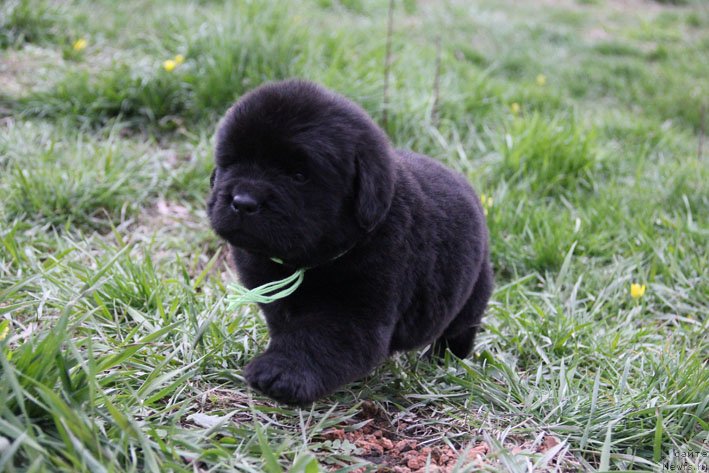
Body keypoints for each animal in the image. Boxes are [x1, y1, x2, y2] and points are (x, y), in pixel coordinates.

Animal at [207, 79, 490, 404]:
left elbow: (317, 338)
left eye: (299, 175)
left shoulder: (356, 310)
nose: (243, 202)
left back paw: (444, 359)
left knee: (461, 329)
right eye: (231, 162)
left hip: (475, 289)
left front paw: (281, 372)